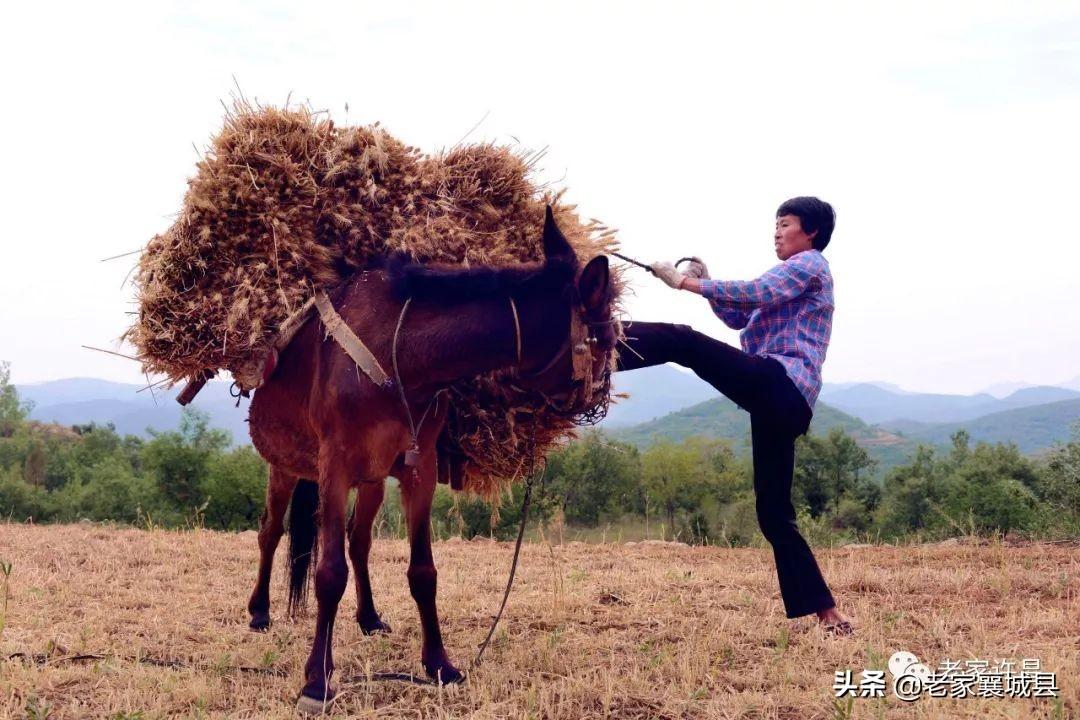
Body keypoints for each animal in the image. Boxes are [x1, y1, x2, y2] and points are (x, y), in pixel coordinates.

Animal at [246, 209, 617, 716]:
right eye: (608, 339)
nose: (599, 397)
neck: (400, 349)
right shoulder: (334, 468)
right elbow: (328, 573)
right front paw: (317, 681)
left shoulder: (416, 471)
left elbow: (422, 572)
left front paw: (440, 664)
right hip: (284, 468)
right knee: (271, 532)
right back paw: (259, 610)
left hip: (373, 479)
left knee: (359, 542)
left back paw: (369, 617)